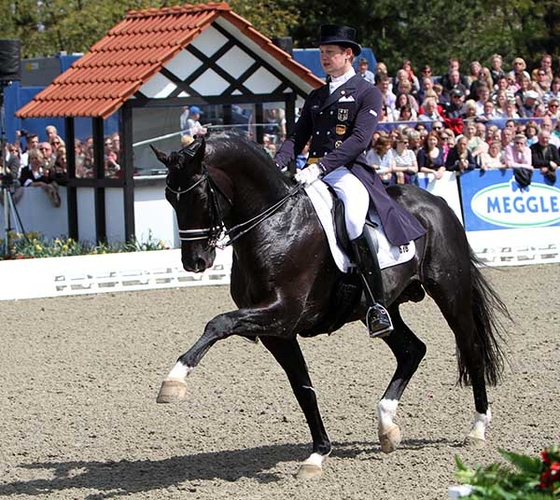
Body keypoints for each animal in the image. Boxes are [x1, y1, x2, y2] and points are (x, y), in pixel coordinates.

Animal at [152, 133, 508, 480]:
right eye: (169, 197)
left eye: (199, 196)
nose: (195, 262)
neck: (276, 224)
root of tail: (437, 203)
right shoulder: (278, 333)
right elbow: (303, 389)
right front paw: (318, 454)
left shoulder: (282, 313)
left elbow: (219, 323)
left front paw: (174, 381)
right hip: (383, 307)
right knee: (412, 350)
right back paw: (387, 427)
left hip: (450, 292)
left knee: (471, 347)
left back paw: (477, 429)